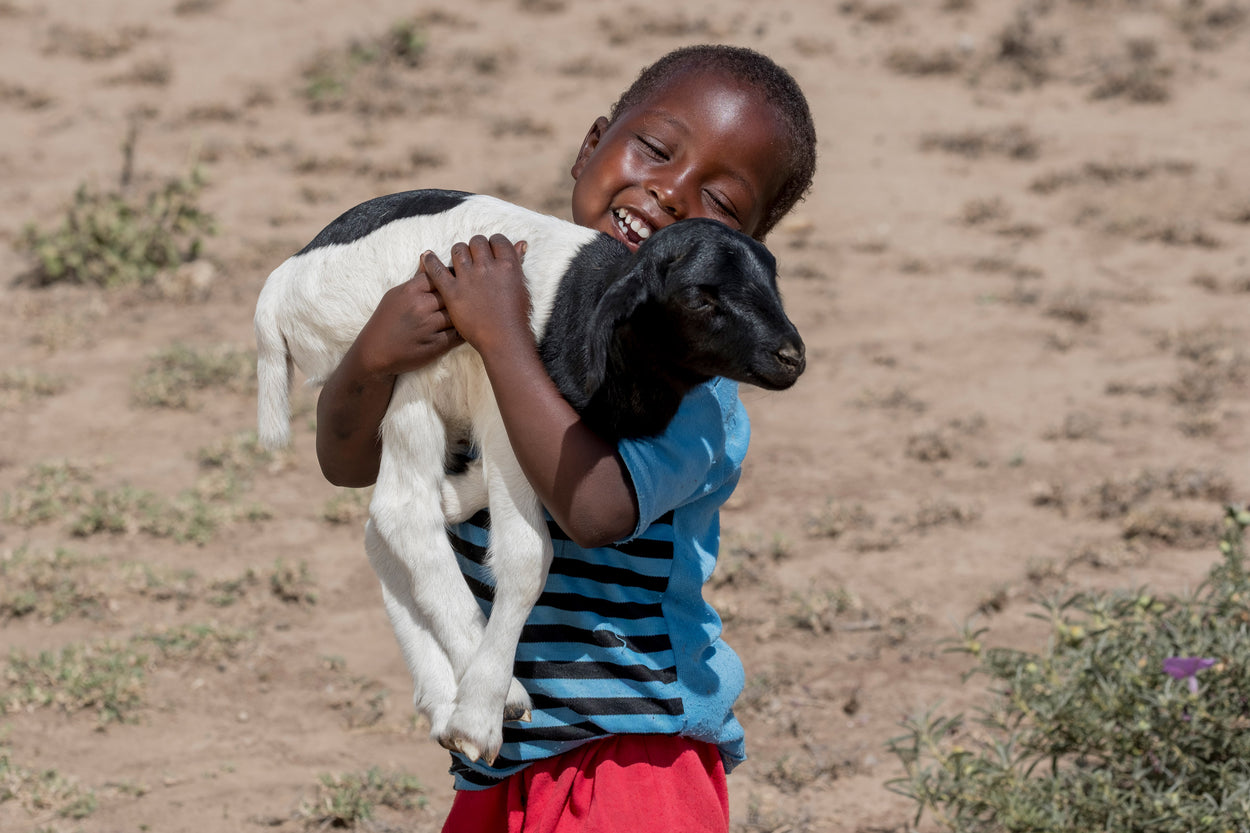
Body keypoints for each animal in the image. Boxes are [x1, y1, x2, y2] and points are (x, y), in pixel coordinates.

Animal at [253, 191, 805, 760]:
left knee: (382, 529)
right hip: (402, 349)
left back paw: (440, 692)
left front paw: (457, 496)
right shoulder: (506, 400)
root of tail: (279, 285)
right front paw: (479, 714)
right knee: (401, 512)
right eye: (701, 299)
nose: (790, 356)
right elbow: (525, 553)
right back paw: (491, 694)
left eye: (773, 282)